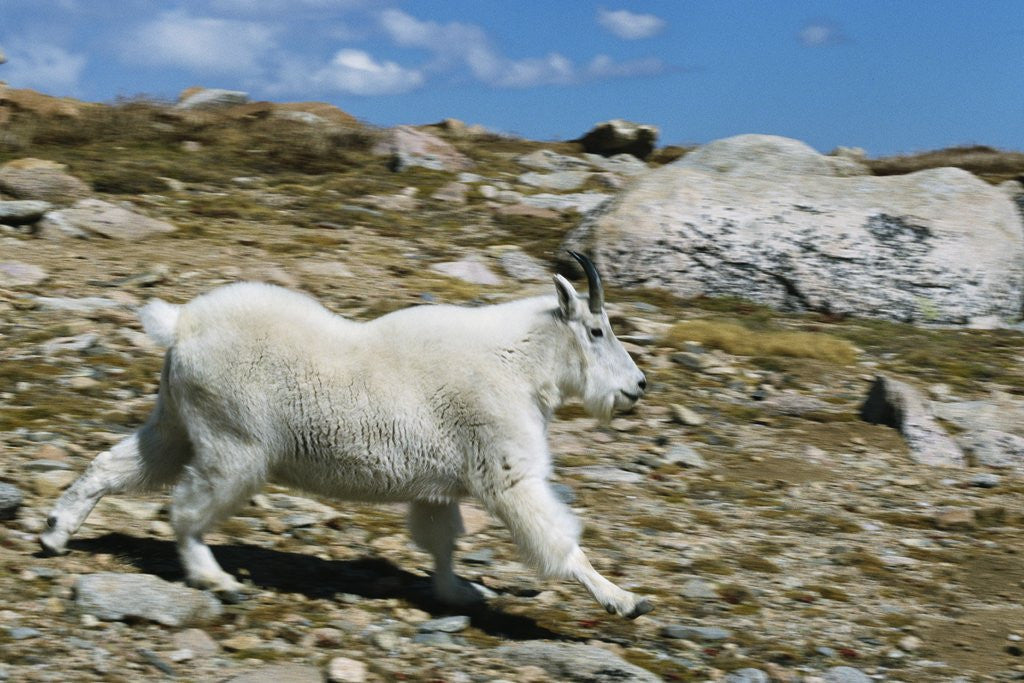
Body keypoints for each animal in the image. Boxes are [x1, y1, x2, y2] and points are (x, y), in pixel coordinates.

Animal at [40, 252, 653, 618]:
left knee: (120, 463)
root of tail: (181, 327)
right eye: (597, 330)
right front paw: (623, 599)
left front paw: (461, 592)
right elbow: (555, 537)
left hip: (175, 422)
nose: (639, 386)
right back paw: (217, 579)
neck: (520, 362)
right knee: (189, 507)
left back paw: (55, 531)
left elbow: (442, 541)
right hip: (234, 443)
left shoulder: (438, 489)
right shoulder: (505, 467)